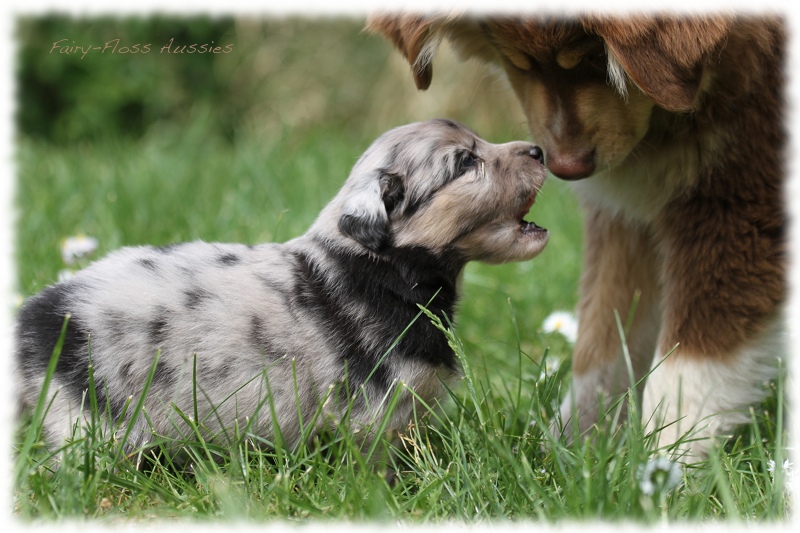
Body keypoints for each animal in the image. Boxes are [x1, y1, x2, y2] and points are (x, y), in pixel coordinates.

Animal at [17, 119, 552, 448]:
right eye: (465, 162)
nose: (540, 149)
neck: (384, 266)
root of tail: (32, 321)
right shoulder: (379, 411)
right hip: (95, 413)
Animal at [370, 14, 788, 460]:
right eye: (518, 63)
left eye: (595, 59)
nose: (564, 167)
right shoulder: (624, 217)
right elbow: (603, 338)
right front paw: (574, 449)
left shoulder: (739, 203)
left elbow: (691, 361)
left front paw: (660, 463)